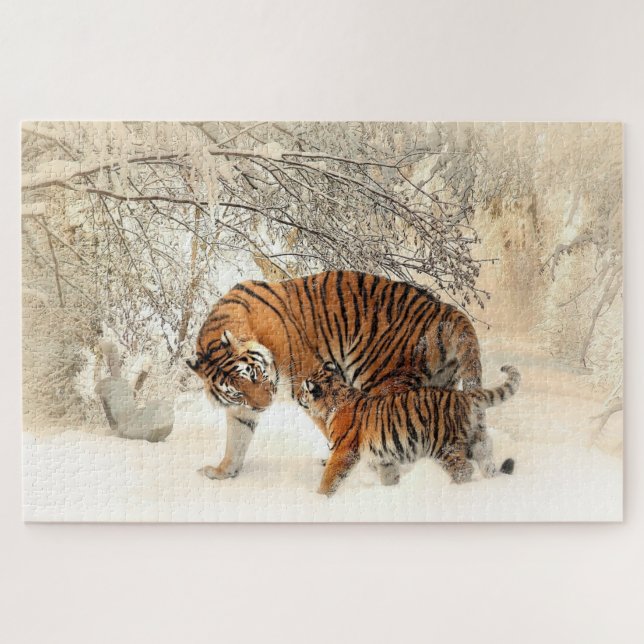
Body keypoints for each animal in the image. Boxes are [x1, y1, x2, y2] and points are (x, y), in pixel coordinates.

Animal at [187, 271, 493, 482]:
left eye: (254, 374)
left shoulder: (308, 381)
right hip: (440, 385)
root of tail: (444, 309)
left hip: (384, 380)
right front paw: (223, 471)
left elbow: (333, 425)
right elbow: (237, 438)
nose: (265, 406)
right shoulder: (242, 409)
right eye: (237, 392)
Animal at [297, 362, 521, 496]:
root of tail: (464, 395)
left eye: (303, 390)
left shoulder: (343, 451)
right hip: (477, 439)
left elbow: (330, 477)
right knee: (486, 460)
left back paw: (453, 490)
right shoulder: (384, 457)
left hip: (444, 446)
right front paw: (390, 491)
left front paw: (320, 497)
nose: (298, 397)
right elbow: (389, 476)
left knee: (464, 470)